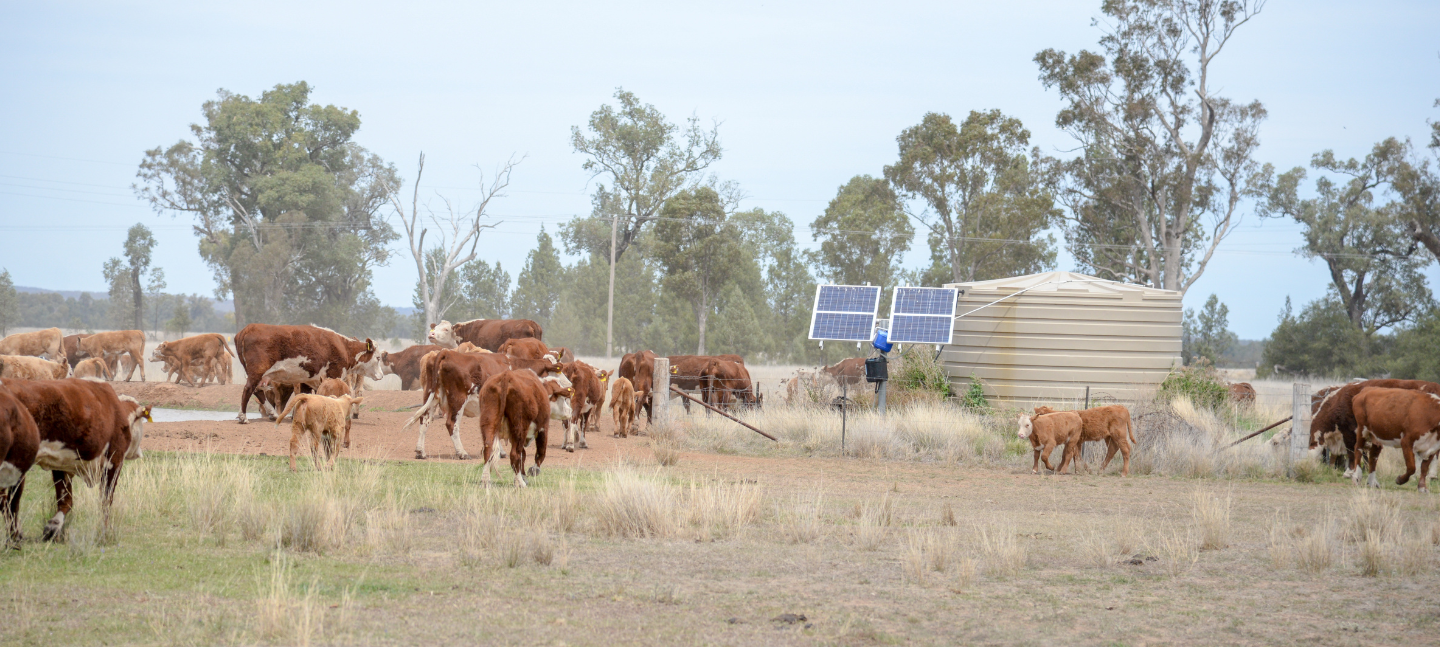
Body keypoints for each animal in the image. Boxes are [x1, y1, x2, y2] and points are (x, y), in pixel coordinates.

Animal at [3, 377, 150, 538]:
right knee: (11, 502)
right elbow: (106, 501)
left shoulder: (61, 465)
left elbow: (65, 500)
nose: (139, 452)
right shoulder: (114, 461)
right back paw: (15, 536)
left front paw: (53, 527)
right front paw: (105, 532)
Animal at [233, 324, 385, 426]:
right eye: (378, 358)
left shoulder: (308, 380)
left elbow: (307, 396)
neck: (344, 347)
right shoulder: (333, 375)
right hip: (256, 372)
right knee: (248, 389)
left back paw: (272, 414)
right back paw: (243, 417)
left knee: (257, 391)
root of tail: (248, 328)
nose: (381, 375)